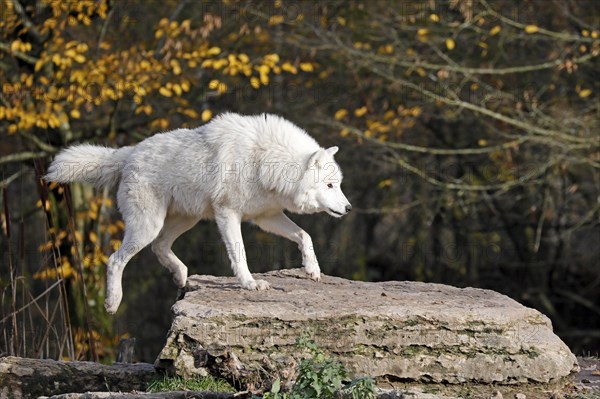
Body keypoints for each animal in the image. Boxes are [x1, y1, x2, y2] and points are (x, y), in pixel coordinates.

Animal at [45, 113, 352, 316]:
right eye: (329, 185)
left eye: (338, 184)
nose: (349, 208)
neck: (265, 159)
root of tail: (130, 152)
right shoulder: (228, 214)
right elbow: (239, 252)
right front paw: (250, 283)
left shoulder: (266, 216)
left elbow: (305, 235)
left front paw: (312, 270)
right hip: (148, 226)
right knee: (114, 259)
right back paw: (112, 302)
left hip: (184, 220)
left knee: (159, 247)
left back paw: (181, 276)